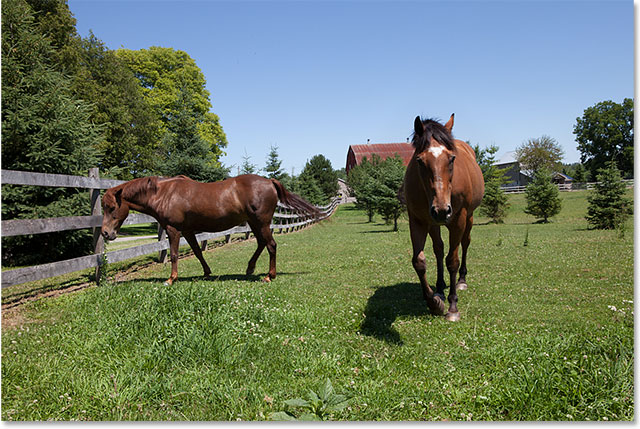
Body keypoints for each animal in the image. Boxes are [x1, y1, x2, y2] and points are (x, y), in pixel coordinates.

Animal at [100, 174, 320, 284]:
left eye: (111, 207)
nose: (105, 233)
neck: (164, 193)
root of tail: (269, 181)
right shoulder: (187, 231)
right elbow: (197, 252)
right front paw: (206, 273)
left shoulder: (173, 230)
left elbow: (173, 254)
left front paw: (171, 279)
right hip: (254, 223)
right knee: (261, 243)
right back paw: (250, 268)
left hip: (261, 223)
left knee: (271, 245)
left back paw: (269, 276)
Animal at [404, 113, 484, 320]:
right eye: (419, 160)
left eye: (451, 158)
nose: (441, 210)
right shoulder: (418, 220)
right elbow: (419, 261)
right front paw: (434, 303)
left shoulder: (459, 220)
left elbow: (452, 261)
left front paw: (453, 306)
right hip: (433, 224)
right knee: (439, 250)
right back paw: (439, 289)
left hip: (468, 218)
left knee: (465, 244)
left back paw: (461, 280)